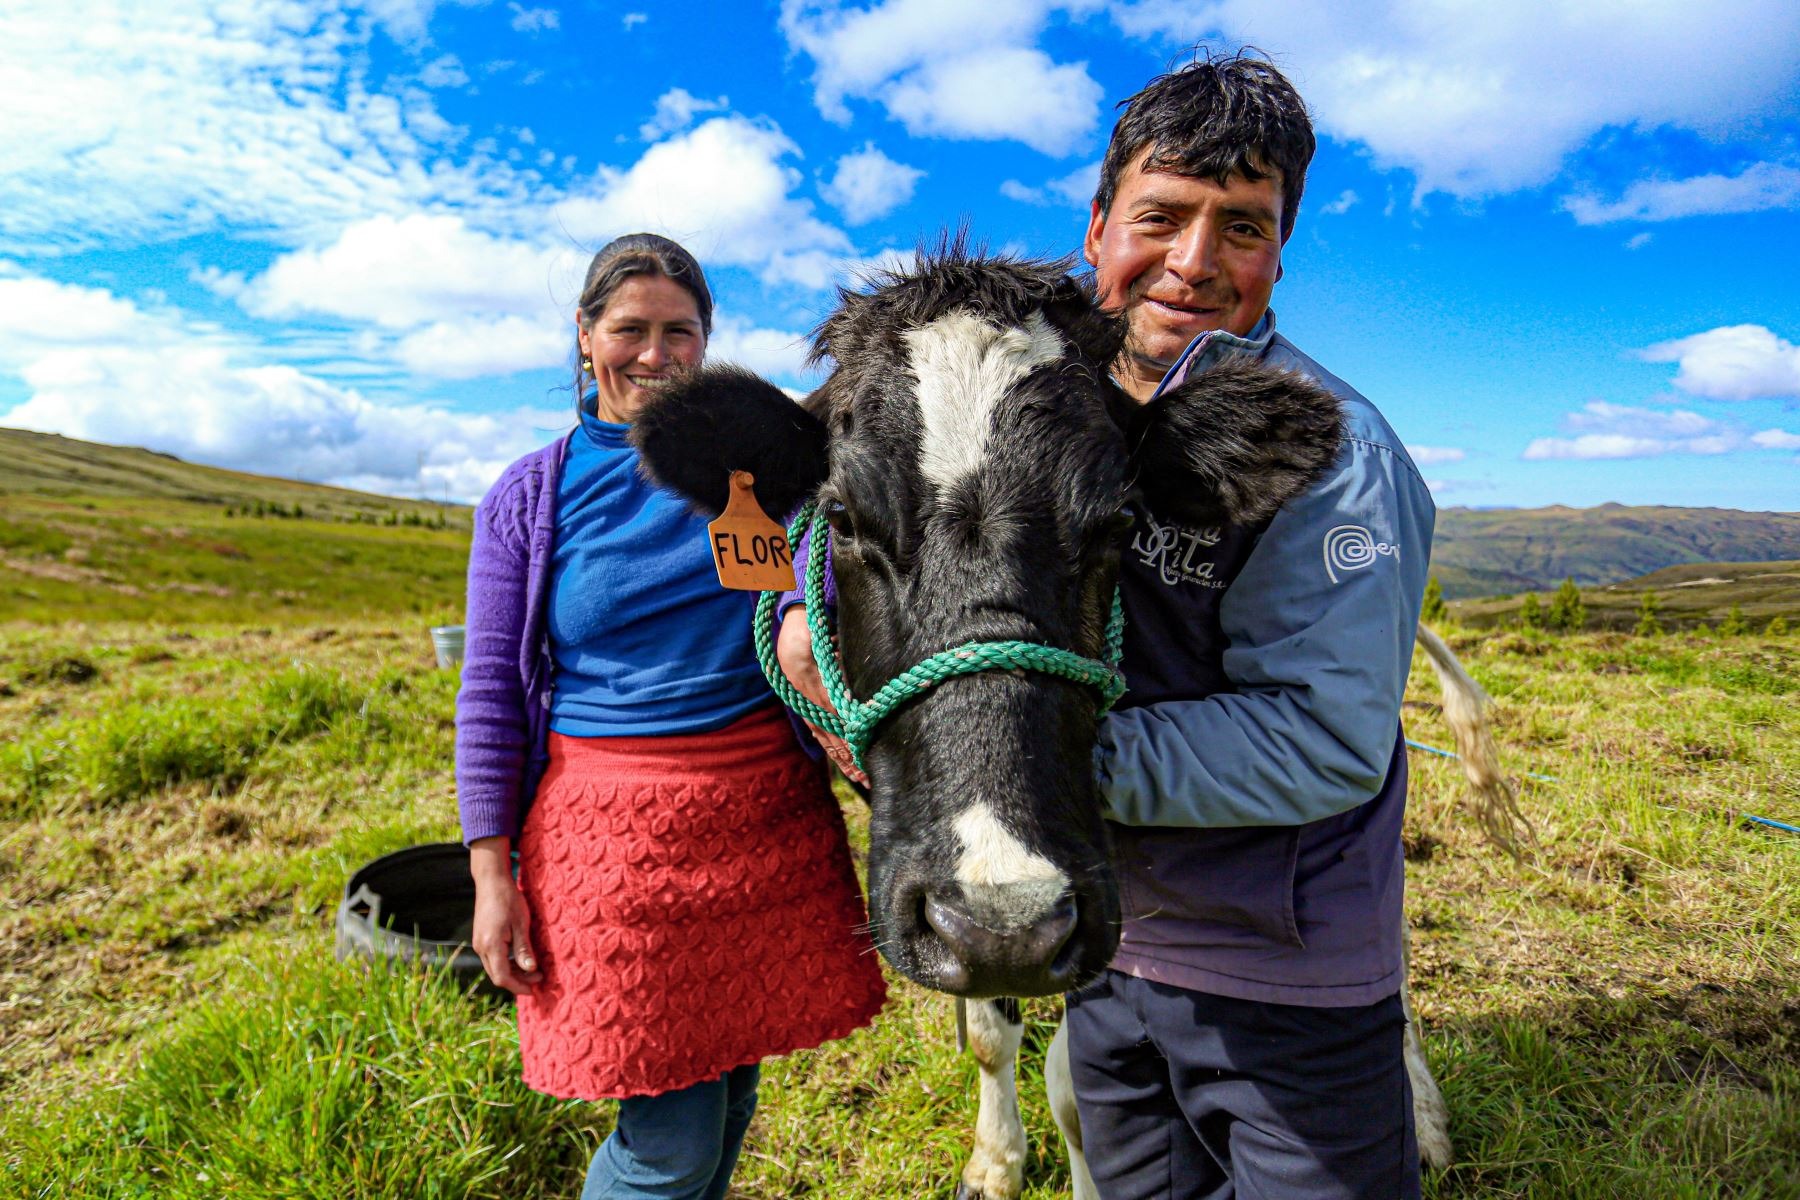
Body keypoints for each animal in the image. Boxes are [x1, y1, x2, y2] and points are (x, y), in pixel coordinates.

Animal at [640, 246, 1454, 1200]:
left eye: (1122, 521)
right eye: (841, 518)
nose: (1007, 920)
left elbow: (1077, 1076)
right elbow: (996, 1030)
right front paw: (996, 1156)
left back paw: (1421, 1107)